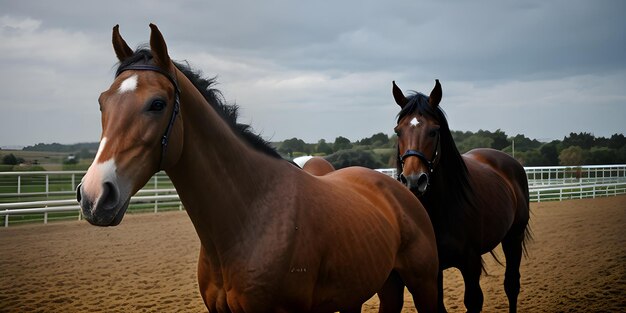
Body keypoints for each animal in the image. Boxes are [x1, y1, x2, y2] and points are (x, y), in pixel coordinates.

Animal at [75, 25, 436, 312]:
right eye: (102, 102)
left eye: (157, 104)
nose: (94, 195)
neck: (250, 218)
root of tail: (400, 188)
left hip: (423, 285)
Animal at [390, 80, 528, 312]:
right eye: (398, 131)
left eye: (434, 131)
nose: (414, 180)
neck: (440, 210)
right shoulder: (432, 270)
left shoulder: (470, 263)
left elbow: (473, 301)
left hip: (513, 238)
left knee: (512, 285)